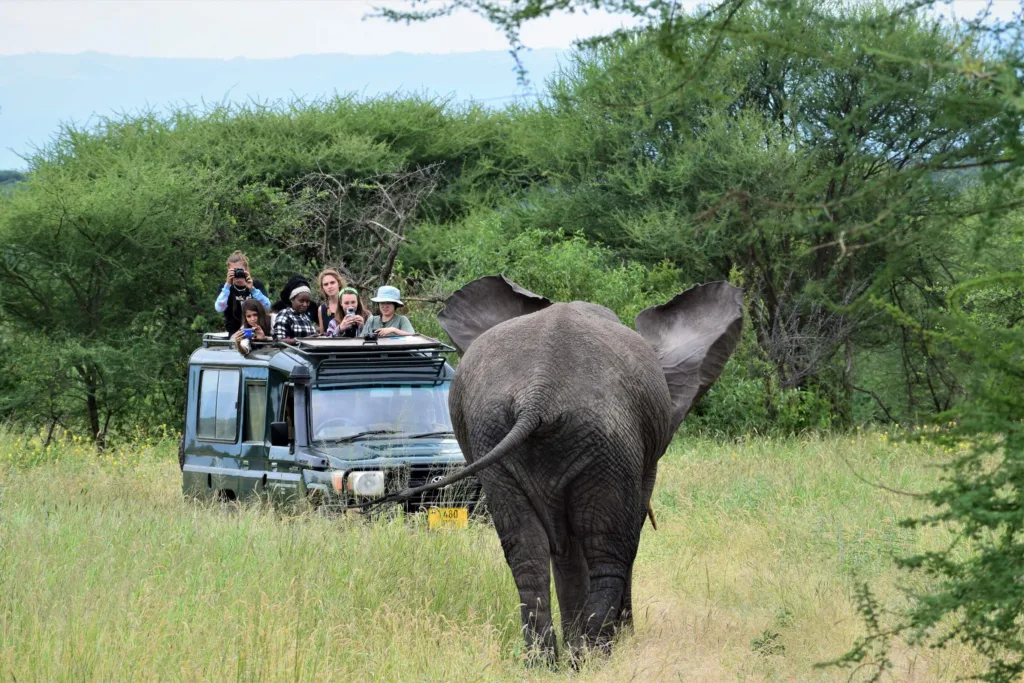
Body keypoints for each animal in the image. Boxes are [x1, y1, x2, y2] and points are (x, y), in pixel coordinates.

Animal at [381, 275, 744, 661]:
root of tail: (538, 393)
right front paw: (610, 641)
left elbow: (564, 545)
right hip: (606, 439)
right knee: (608, 547)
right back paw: (593, 656)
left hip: (500, 435)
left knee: (526, 551)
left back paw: (546, 661)